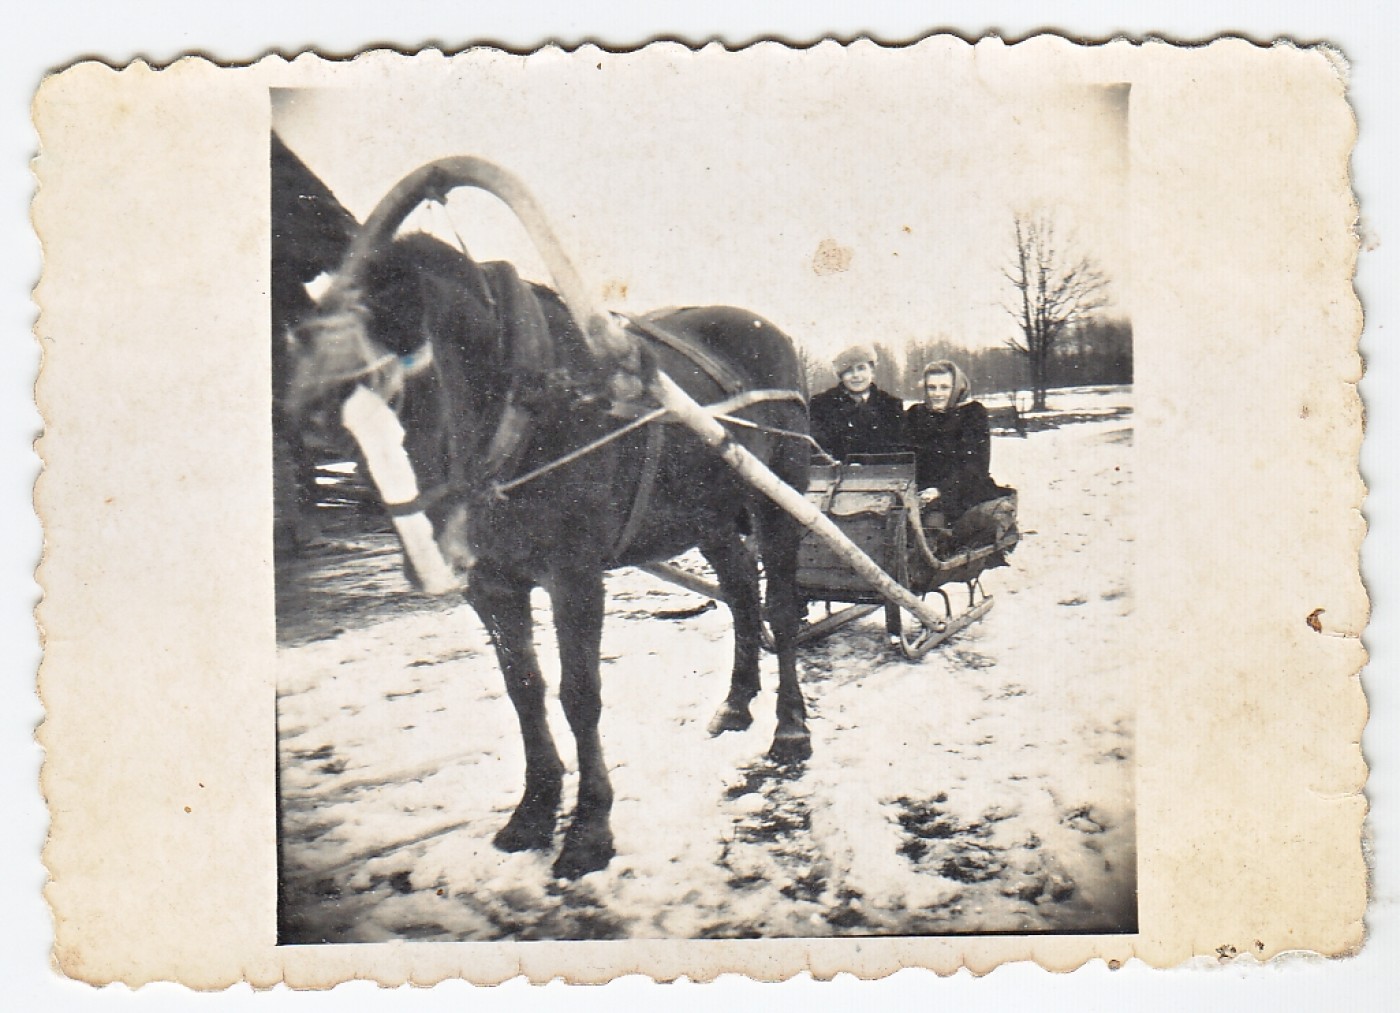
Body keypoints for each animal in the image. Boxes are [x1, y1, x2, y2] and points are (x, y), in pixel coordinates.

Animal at [283, 158, 812, 878]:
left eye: (403, 392)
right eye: (330, 425)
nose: (431, 562)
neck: (526, 403)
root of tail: (770, 333)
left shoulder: (574, 574)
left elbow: (578, 692)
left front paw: (589, 827)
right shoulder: (492, 584)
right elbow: (525, 689)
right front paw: (533, 810)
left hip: (777, 495)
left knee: (780, 604)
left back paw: (791, 727)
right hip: (706, 515)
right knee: (739, 590)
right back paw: (735, 702)